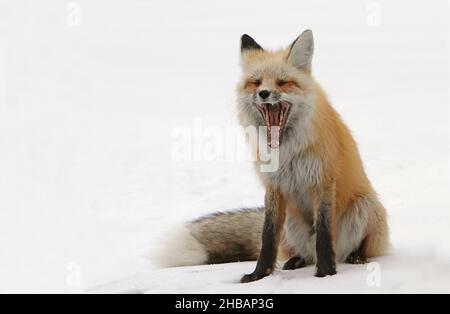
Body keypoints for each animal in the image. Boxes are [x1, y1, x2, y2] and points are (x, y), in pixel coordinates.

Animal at [160, 30, 388, 284]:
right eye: (256, 82)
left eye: (282, 82)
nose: (264, 93)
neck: (287, 152)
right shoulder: (273, 185)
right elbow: (267, 237)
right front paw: (259, 275)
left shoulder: (323, 181)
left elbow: (323, 234)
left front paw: (326, 273)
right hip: (291, 221)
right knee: (302, 252)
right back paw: (297, 260)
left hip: (365, 206)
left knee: (347, 247)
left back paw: (355, 257)